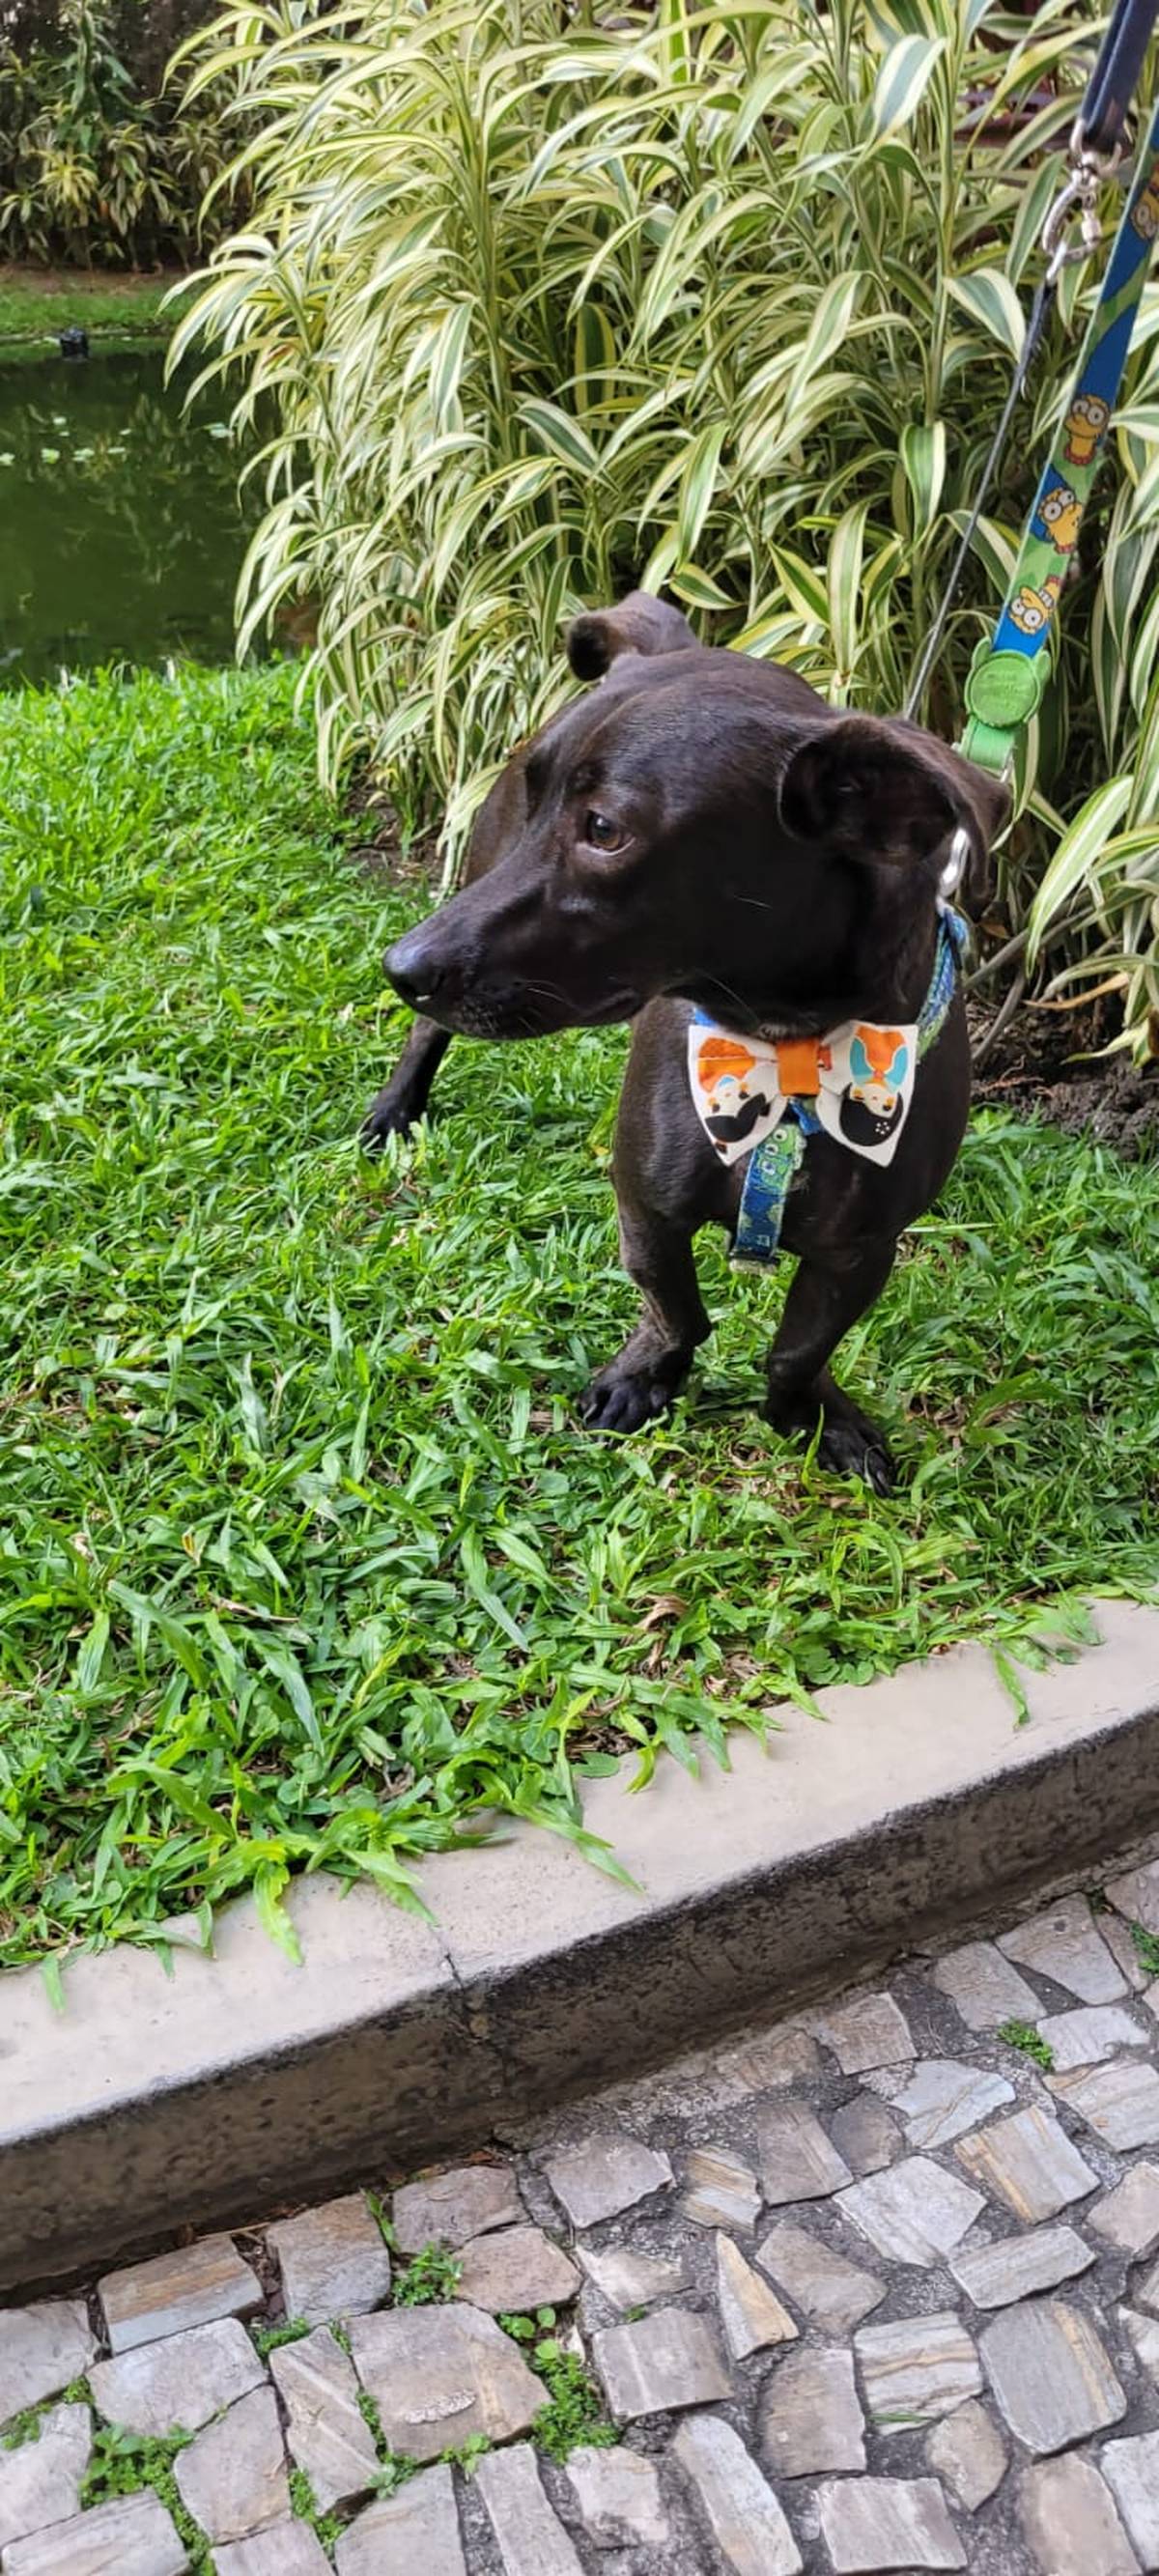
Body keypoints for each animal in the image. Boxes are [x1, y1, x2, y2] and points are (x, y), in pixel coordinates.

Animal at [365, 593, 1008, 1491]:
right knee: (430, 1030)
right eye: (537, 793)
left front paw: (813, 1416)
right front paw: (646, 1377)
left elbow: (797, 1349)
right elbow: (676, 1309)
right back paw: (398, 1105)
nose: (402, 966)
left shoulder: (860, 1251)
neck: (789, 1056)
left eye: (604, 829)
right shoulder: (648, 1206)